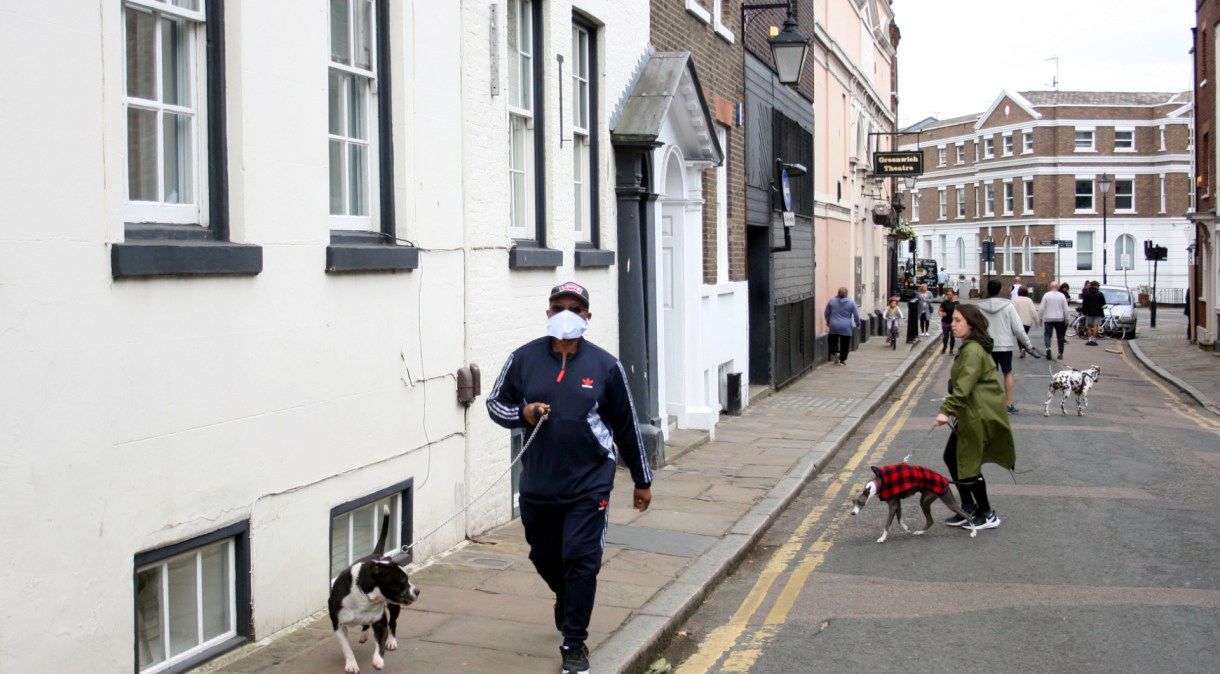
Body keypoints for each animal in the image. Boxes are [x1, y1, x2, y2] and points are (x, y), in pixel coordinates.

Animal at [326, 505, 422, 674]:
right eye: (403, 580)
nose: (417, 591)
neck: (365, 597)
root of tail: (378, 554)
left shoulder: (380, 622)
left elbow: (380, 643)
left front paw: (378, 660)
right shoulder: (338, 625)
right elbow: (346, 648)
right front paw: (351, 664)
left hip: (394, 607)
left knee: (393, 623)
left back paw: (391, 641)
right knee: (366, 624)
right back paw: (364, 633)